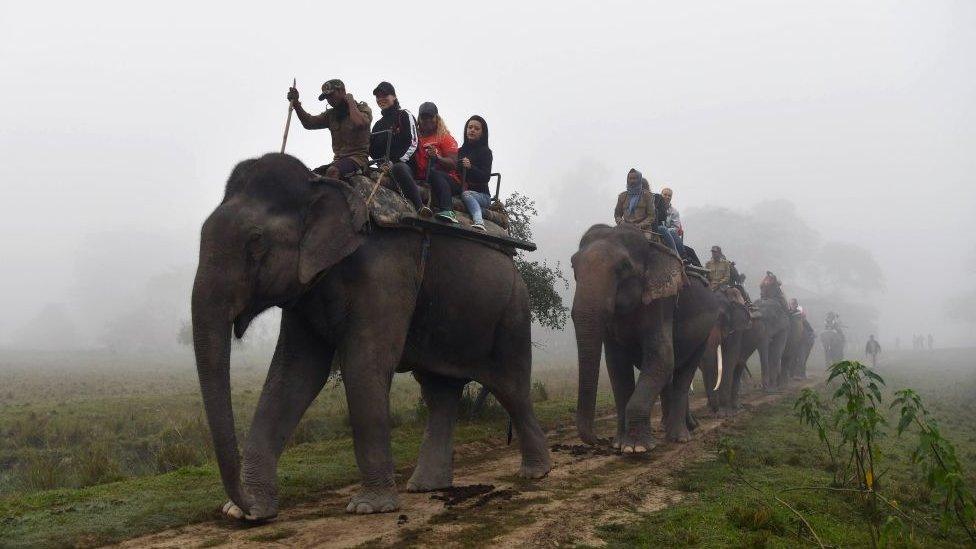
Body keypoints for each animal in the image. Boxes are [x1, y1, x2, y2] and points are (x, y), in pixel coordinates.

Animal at [191, 154, 548, 524]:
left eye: (256, 240)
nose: (244, 505)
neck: (325, 187)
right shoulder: (307, 289)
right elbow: (295, 373)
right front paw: (244, 513)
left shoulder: (385, 268)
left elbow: (364, 363)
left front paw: (369, 507)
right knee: (439, 393)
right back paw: (426, 486)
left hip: (513, 310)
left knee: (510, 386)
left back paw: (535, 473)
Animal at [568, 222, 720, 450]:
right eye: (573, 265)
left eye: (623, 267)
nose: (600, 440)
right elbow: (616, 366)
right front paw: (619, 444)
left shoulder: (661, 303)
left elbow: (661, 358)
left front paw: (635, 447)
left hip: (704, 333)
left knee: (684, 374)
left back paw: (679, 437)